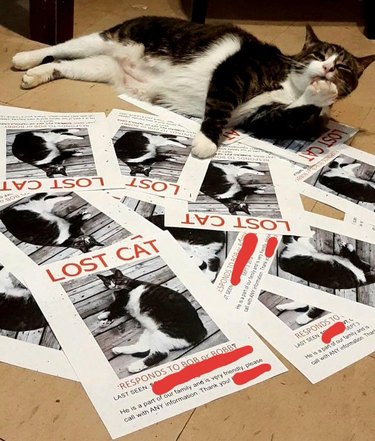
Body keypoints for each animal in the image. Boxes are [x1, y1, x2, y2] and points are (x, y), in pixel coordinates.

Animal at [11, 17, 375, 158]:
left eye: (343, 67)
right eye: (318, 54)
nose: (327, 69)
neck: (290, 85)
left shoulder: (262, 117)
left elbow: (292, 113)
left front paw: (323, 94)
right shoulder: (235, 72)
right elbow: (219, 106)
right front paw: (205, 142)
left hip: (100, 68)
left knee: (62, 64)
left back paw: (37, 74)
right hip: (110, 38)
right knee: (63, 46)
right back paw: (24, 58)